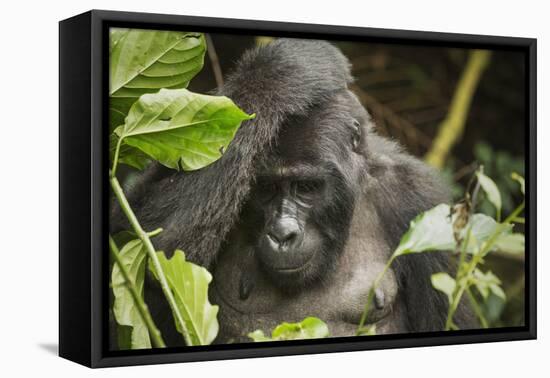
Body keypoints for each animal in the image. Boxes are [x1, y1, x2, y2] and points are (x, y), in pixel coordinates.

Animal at [112, 37, 474, 346]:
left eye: (306, 187)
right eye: (267, 188)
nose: (282, 233)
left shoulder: (419, 199)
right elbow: (148, 245)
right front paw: (284, 71)